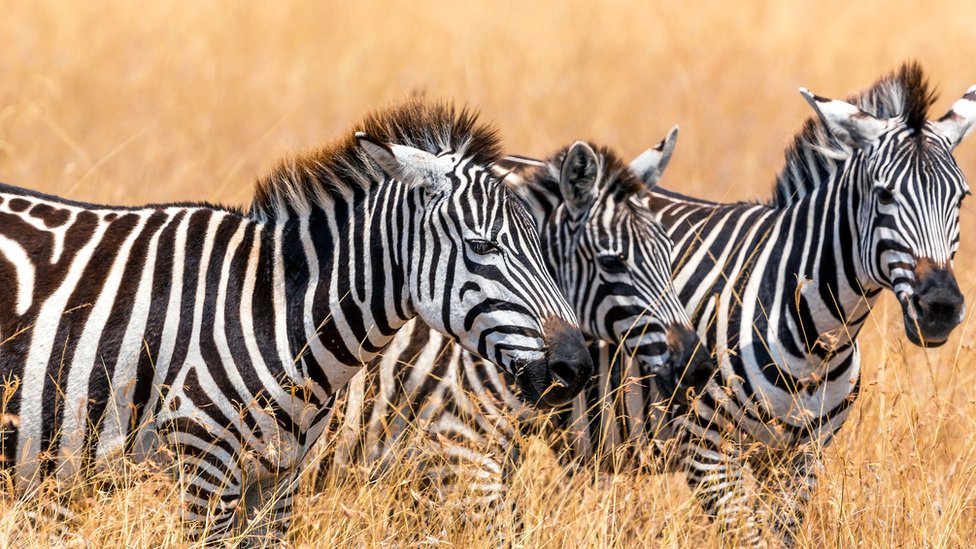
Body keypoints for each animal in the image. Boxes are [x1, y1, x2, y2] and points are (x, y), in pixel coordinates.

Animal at [0, 98, 594, 543]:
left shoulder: (277, 481)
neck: (277, 315)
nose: (577, 367)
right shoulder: (203, 467)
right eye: (482, 246)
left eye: (541, 244)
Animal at [497, 62, 975, 546]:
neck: (817, 336)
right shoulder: (707, 453)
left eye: (962, 197)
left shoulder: (800, 460)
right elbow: (747, 538)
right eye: (883, 194)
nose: (939, 307)